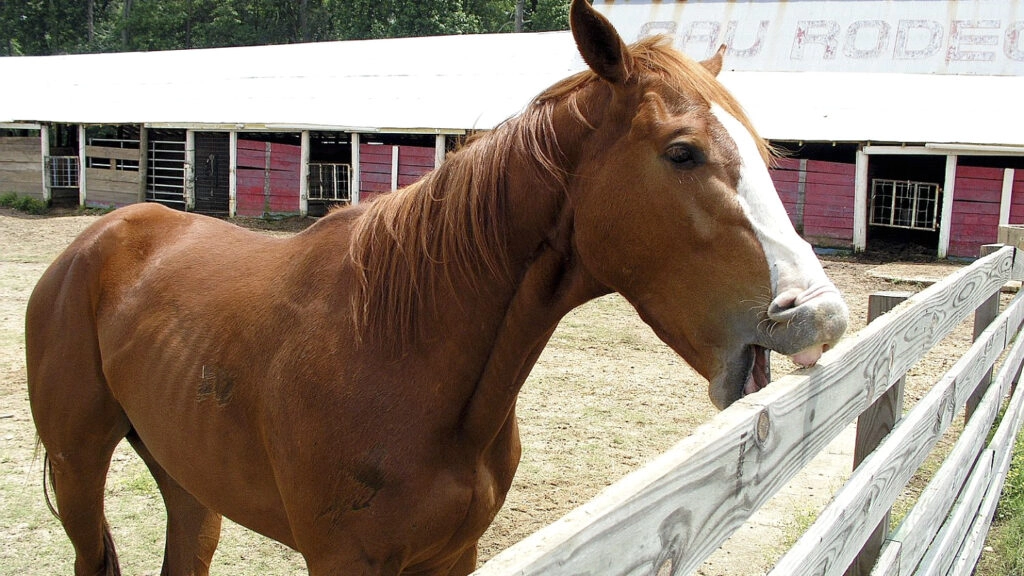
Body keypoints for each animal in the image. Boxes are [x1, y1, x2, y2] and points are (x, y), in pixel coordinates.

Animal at [26, 1, 848, 574]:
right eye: (682, 152)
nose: (821, 317)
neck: (400, 349)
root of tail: (97, 240)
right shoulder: (344, 561)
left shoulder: (454, 553)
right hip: (78, 470)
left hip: (189, 484)